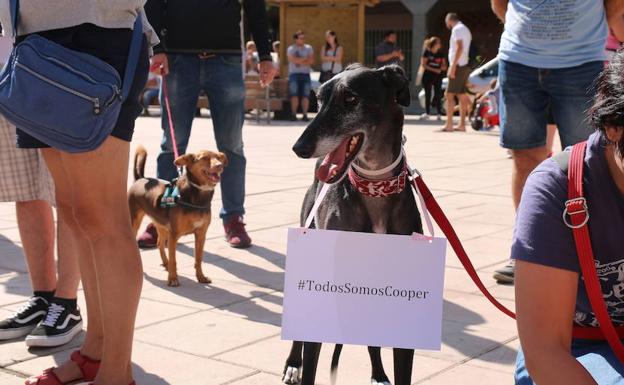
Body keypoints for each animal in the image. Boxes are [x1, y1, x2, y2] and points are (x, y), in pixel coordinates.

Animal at [129, 146, 227, 286]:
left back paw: (166, 263)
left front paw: (201, 277)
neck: (198, 195)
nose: (219, 166)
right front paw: (173, 278)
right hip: (135, 221)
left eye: (219, 157)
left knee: (159, 243)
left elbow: (198, 259)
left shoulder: (201, 235)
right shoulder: (173, 235)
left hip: (161, 224)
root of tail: (140, 178)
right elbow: (174, 259)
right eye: (204, 158)